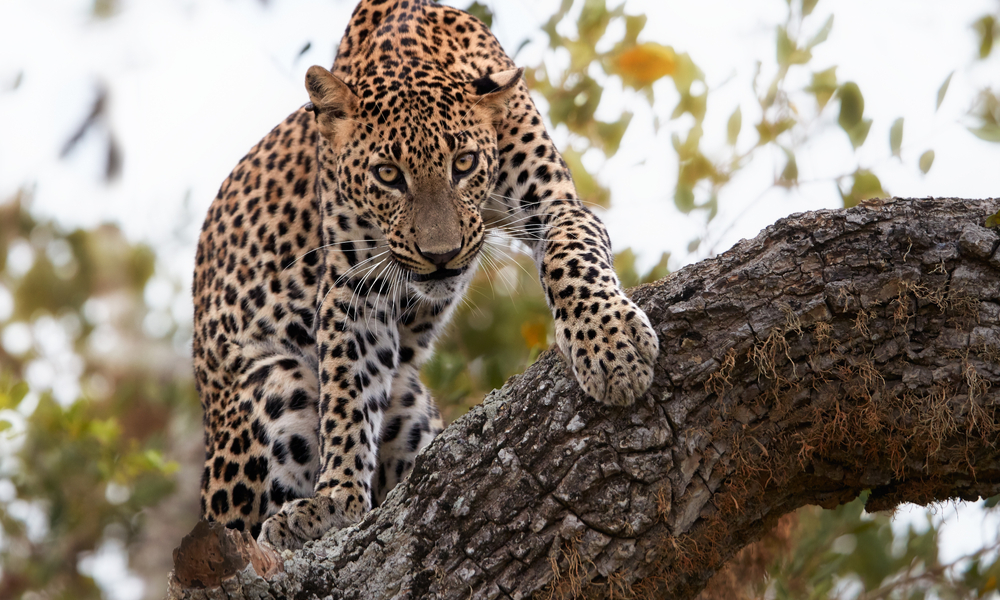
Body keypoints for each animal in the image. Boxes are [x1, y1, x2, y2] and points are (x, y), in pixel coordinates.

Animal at [191, 0, 660, 548]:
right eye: (388, 175)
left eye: (465, 162)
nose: (442, 255)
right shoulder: (356, 285)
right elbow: (347, 394)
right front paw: (335, 499)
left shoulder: (555, 206)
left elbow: (572, 259)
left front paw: (611, 348)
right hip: (276, 384)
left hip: (411, 406)